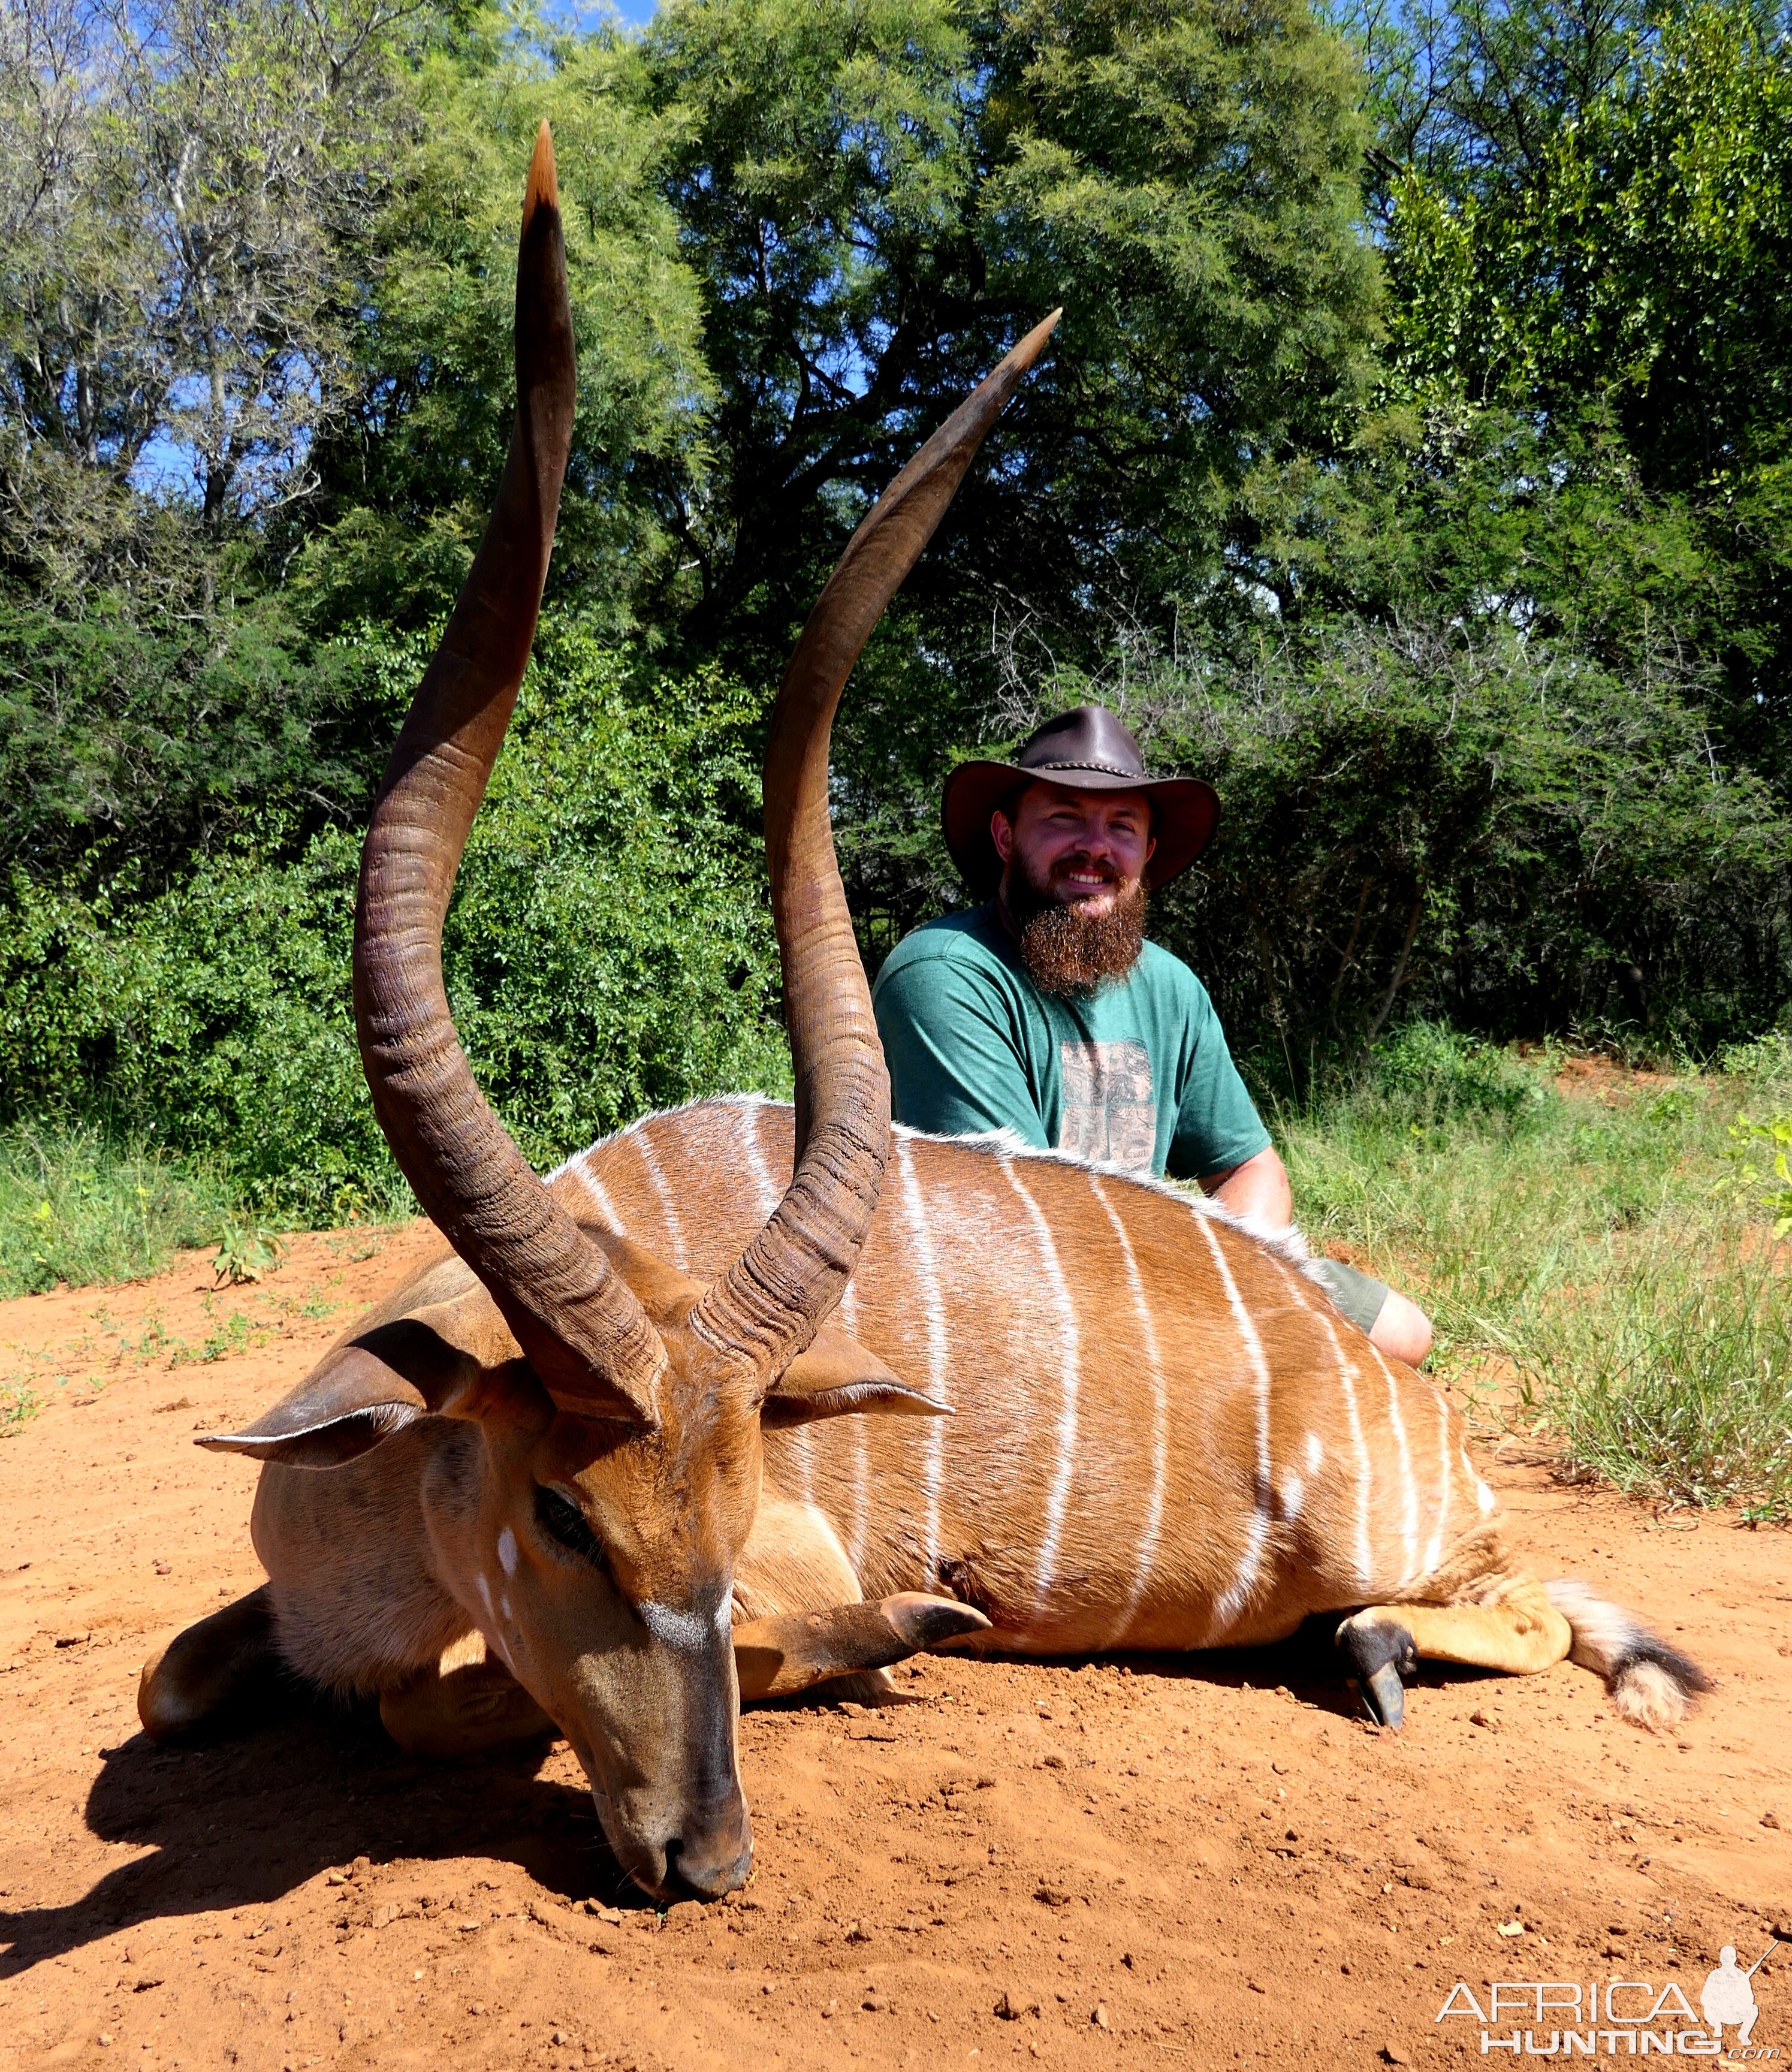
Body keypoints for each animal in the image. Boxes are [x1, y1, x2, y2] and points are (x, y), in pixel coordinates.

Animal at [140, 121, 1707, 1898]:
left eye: (733, 1506)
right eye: (559, 1510)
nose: (703, 1854)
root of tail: (1404, 1400)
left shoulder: (788, 1571)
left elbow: (545, 1685)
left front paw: (905, 1630)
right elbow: (180, 1680)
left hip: (1410, 1534)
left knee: (1524, 1602)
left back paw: (1365, 1644)